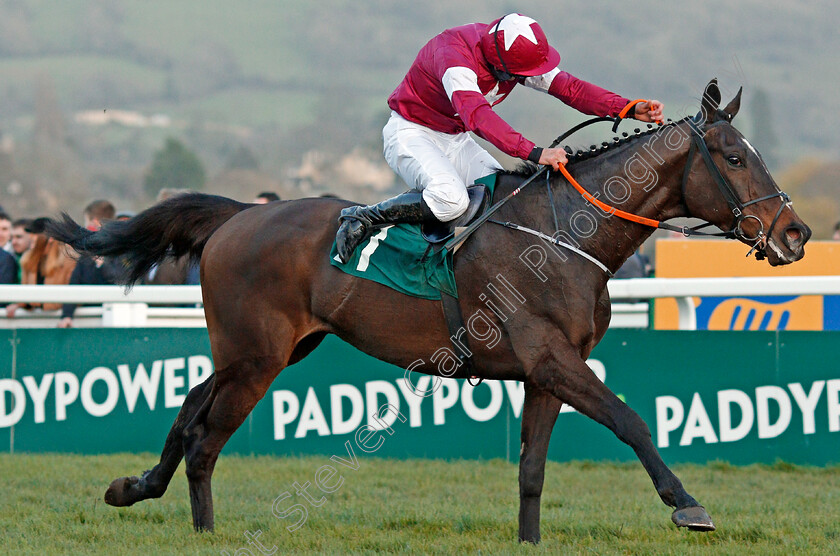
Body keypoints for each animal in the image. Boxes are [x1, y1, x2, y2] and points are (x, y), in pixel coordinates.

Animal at [44, 80, 808, 544]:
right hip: (256, 357)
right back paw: (202, 529)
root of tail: (237, 216)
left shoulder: (546, 373)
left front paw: (530, 541)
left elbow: (532, 469)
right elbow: (630, 421)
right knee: (207, 439)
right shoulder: (553, 359)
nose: (795, 234)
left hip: (265, 351)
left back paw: (135, 486)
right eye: (733, 157)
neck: (565, 233)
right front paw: (686, 503)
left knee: (189, 409)